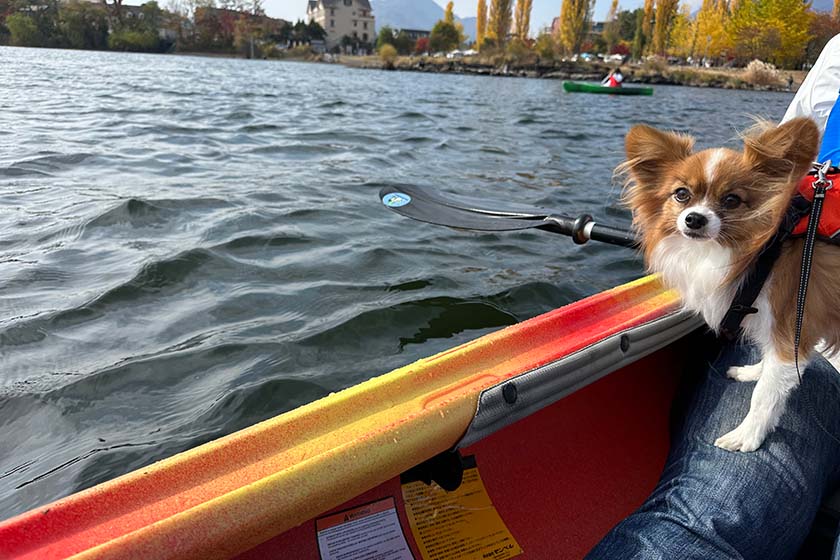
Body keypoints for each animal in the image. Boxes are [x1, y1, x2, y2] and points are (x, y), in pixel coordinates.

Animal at [620, 117, 836, 450]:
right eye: (681, 194)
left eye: (732, 200)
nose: (694, 219)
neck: (768, 248)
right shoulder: (777, 330)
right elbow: (769, 363)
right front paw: (754, 372)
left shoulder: (792, 324)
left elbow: (766, 393)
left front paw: (747, 436)